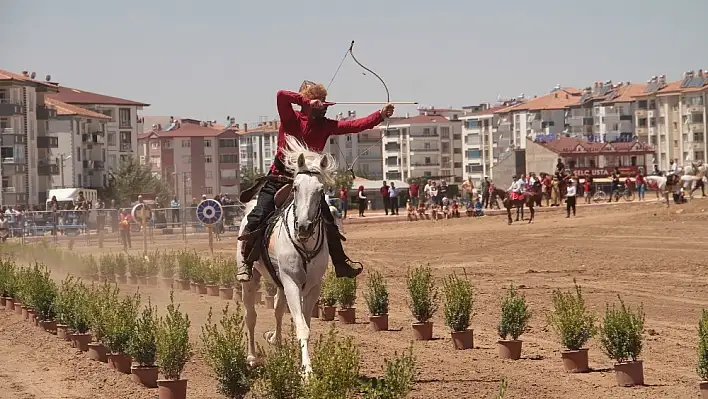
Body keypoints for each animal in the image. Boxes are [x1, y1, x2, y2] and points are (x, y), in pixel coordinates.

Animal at [236, 137, 336, 376]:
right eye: (296, 187)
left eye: (321, 190)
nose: (304, 227)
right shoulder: (291, 282)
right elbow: (301, 326)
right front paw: (307, 373)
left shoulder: (312, 286)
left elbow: (305, 323)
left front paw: (301, 363)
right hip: (251, 281)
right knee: (250, 316)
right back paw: (252, 357)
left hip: (279, 282)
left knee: (277, 309)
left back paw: (277, 341)